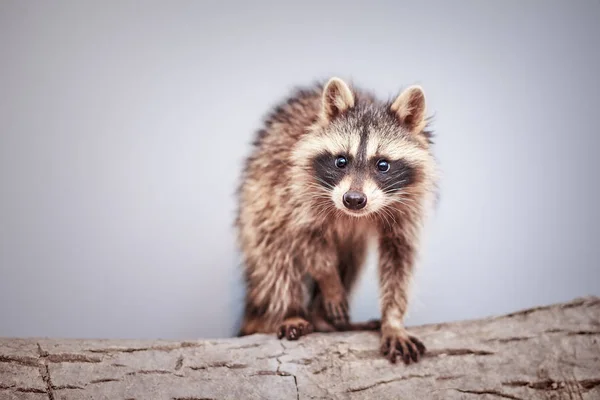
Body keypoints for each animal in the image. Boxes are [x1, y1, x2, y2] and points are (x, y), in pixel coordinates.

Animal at [237, 76, 438, 364]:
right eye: (341, 161)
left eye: (383, 165)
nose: (353, 199)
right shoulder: (295, 190)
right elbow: (305, 237)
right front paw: (329, 279)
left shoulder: (408, 208)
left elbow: (400, 260)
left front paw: (393, 321)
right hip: (257, 207)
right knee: (275, 258)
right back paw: (291, 311)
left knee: (351, 258)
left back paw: (324, 320)